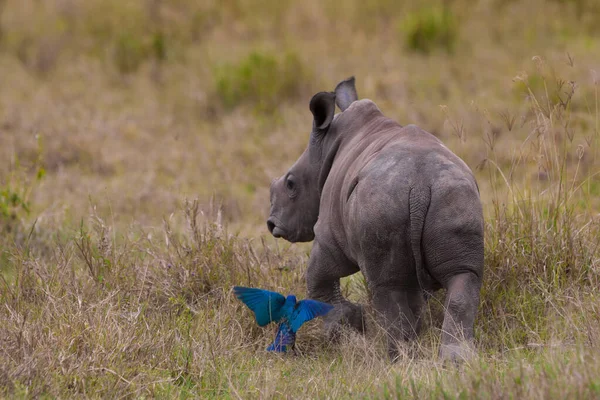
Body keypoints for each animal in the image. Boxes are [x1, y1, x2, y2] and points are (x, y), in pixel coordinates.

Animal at [268, 76, 482, 360]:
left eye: (291, 184)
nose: (272, 224)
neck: (325, 148)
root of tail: (421, 186)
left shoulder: (329, 237)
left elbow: (317, 277)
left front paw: (344, 327)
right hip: (454, 197)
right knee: (463, 275)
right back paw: (455, 361)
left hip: (381, 204)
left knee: (387, 287)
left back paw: (396, 359)